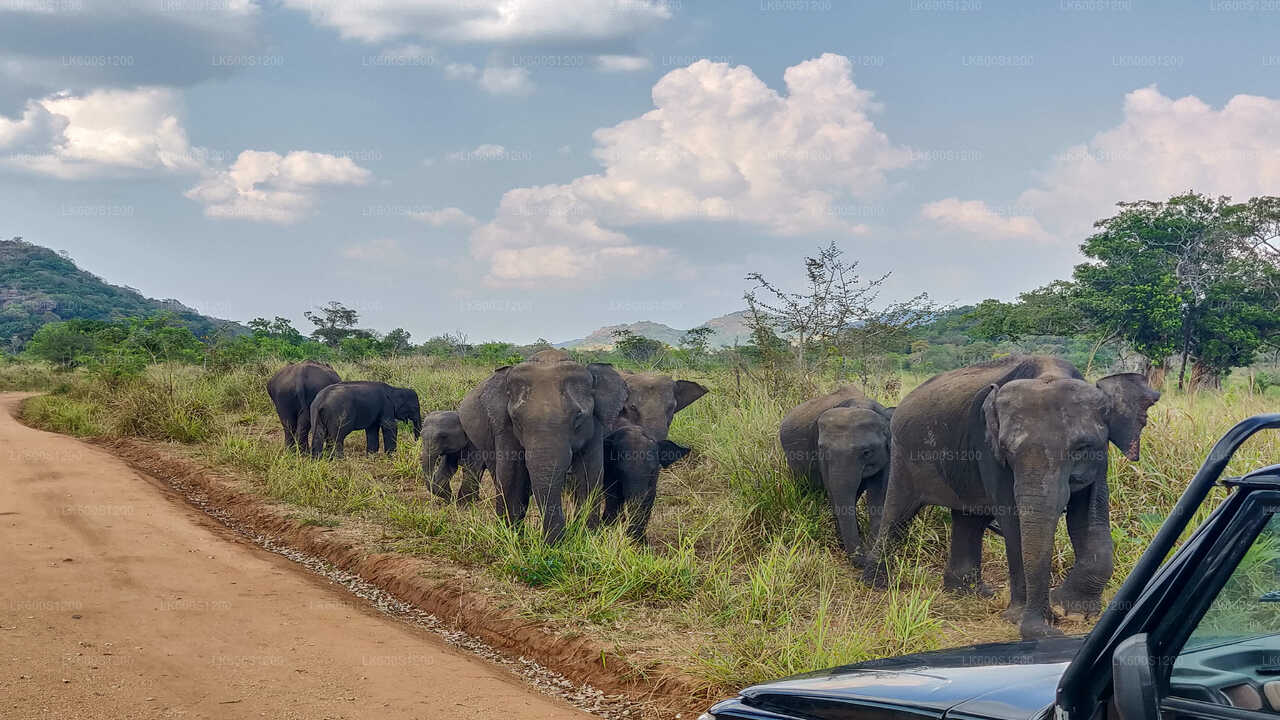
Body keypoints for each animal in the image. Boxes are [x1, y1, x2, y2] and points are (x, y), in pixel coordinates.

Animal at [457, 349, 627, 544]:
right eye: (516, 419)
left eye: (578, 416)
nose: (550, 543)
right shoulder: (504, 426)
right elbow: (511, 473)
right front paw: (512, 538)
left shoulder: (595, 425)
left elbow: (590, 473)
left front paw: (586, 538)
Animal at [862, 355, 1160, 640]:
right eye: (1007, 450)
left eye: (1082, 448)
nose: (1049, 627)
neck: (1049, 372)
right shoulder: (989, 451)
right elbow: (1013, 519)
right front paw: (1020, 618)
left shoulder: (1099, 458)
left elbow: (1090, 515)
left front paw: (1072, 612)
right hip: (904, 454)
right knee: (898, 514)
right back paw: (877, 584)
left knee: (969, 518)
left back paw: (969, 593)